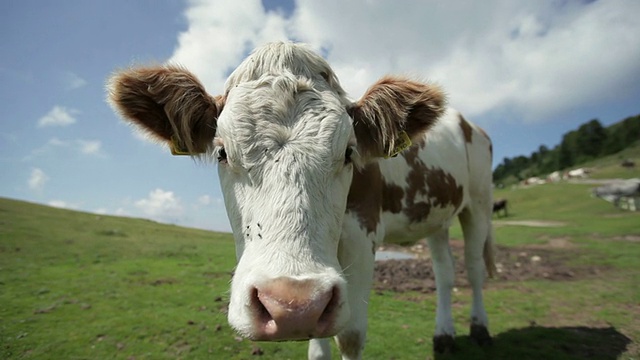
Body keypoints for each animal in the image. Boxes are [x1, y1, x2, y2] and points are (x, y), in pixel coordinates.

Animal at [109, 41, 496, 358]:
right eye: (222, 153)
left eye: (349, 152)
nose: (290, 305)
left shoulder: (363, 235)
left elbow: (350, 336)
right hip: (436, 217)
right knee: (444, 270)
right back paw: (444, 335)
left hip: (479, 202)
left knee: (474, 266)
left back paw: (480, 329)